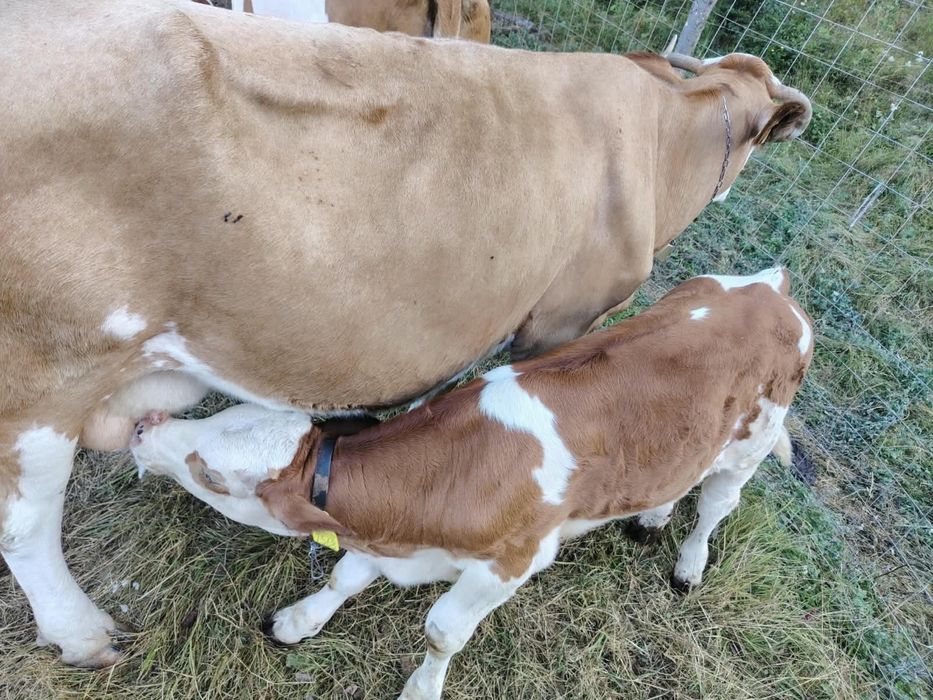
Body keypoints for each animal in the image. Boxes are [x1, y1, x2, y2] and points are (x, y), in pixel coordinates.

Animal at [130, 268, 814, 700]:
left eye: (212, 474)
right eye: (222, 415)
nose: (141, 426)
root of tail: (772, 288)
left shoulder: (514, 561)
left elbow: (441, 632)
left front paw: (420, 689)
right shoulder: (384, 535)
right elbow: (343, 575)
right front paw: (299, 621)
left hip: (749, 446)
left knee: (717, 505)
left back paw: (689, 564)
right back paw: (651, 516)